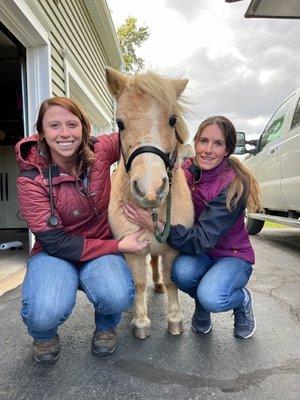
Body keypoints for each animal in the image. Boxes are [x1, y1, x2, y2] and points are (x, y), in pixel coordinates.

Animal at [106, 67, 193, 340]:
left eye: (172, 120)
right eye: (120, 123)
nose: (151, 190)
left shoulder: (172, 248)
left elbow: (172, 280)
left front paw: (174, 319)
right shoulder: (133, 249)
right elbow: (138, 282)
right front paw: (140, 321)